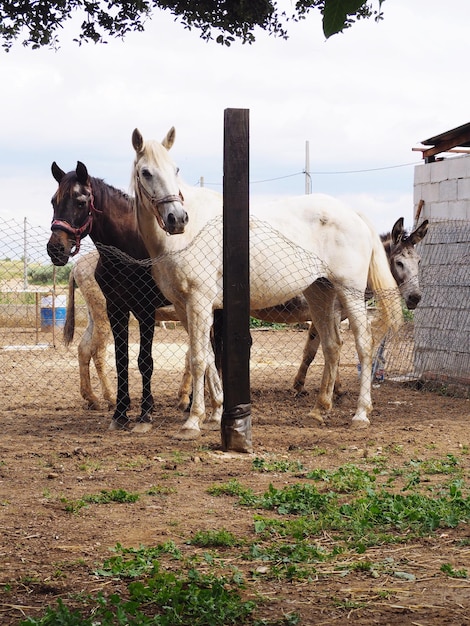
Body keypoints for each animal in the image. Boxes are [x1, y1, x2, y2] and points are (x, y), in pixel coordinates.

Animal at [46, 162, 187, 428]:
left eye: (80, 202)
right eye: (53, 201)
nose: (55, 249)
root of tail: (77, 267)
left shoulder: (144, 311)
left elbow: (145, 360)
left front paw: (146, 410)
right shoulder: (119, 309)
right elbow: (125, 359)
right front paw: (126, 412)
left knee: (85, 349)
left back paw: (94, 398)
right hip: (102, 316)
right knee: (96, 351)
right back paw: (107, 398)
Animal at [130, 129, 402, 436]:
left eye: (175, 169)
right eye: (146, 172)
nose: (177, 218)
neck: (188, 234)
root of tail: (353, 213)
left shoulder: (198, 303)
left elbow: (198, 359)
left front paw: (193, 421)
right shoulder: (183, 307)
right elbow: (208, 357)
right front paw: (215, 413)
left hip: (349, 292)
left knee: (364, 344)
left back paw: (361, 413)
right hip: (320, 293)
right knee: (332, 346)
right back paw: (319, 411)